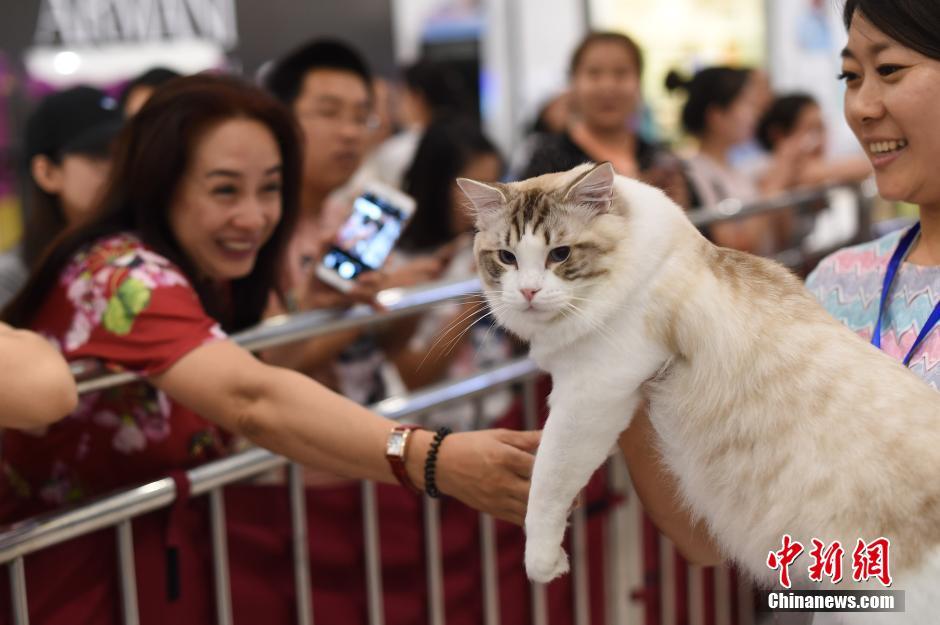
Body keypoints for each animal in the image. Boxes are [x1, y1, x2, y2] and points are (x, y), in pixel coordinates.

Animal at [458, 162, 940, 624]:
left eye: (560, 254)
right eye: (506, 258)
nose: (528, 292)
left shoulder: (588, 394)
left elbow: (547, 483)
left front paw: (542, 562)